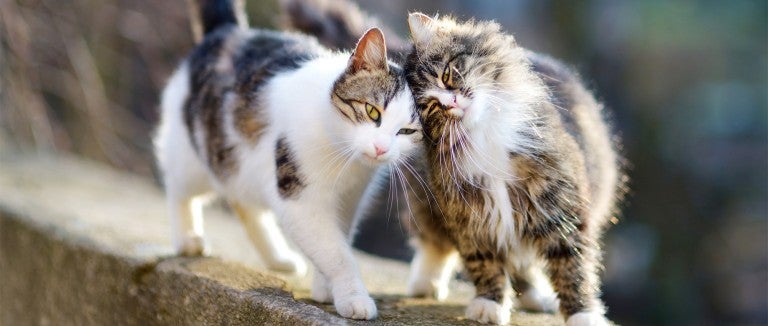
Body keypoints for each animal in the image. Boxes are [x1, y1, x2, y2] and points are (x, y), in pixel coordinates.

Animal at [154, 0, 424, 320]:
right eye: (373, 112)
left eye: (407, 131)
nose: (381, 148)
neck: (344, 158)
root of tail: (229, 31)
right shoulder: (300, 199)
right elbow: (336, 252)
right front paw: (353, 297)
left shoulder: (350, 199)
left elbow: (339, 239)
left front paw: (325, 288)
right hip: (195, 153)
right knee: (179, 187)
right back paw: (188, 239)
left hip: (244, 166)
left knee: (244, 204)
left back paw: (278, 258)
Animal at [282, 1, 624, 324]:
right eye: (431, 106)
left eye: (447, 75)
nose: (453, 101)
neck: (484, 136)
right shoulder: (467, 211)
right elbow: (484, 262)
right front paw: (489, 304)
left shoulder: (557, 202)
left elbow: (571, 264)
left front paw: (583, 313)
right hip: (425, 201)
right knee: (435, 244)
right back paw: (426, 283)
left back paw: (536, 297)